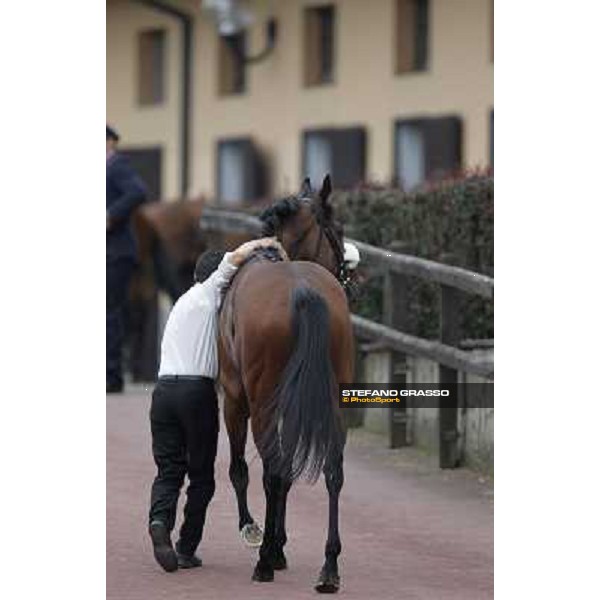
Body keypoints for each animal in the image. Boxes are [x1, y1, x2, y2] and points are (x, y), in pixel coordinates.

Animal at [218, 176, 354, 592]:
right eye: (337, 228)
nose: (350, 274)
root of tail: (302, 292)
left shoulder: (234, 399)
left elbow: (243, 469)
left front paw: (262, 538)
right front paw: (278, 544)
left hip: (259, 404)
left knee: (272, 470)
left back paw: (263, 560)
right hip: (334, 402)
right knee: (332, 471)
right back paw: (329, 566)